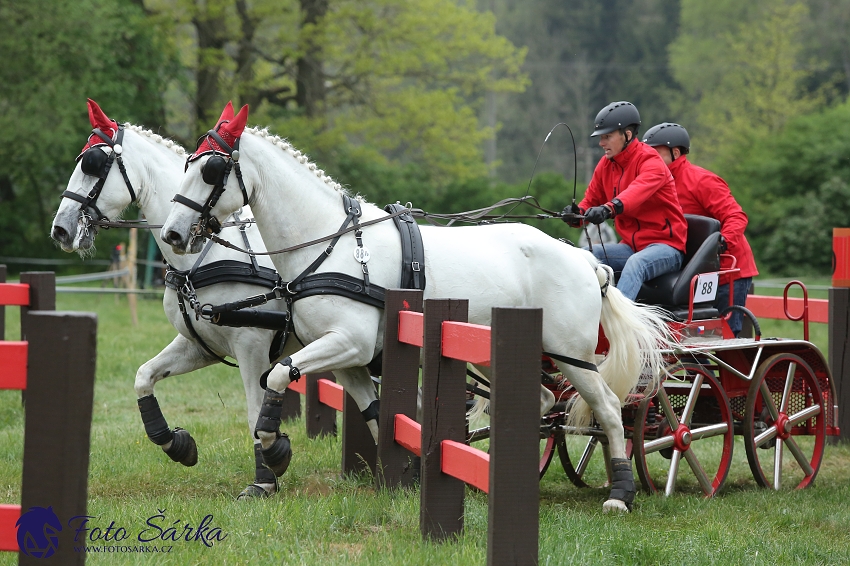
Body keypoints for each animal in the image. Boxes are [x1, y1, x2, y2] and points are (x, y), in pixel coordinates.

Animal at [50, 100, 294, 500]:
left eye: (93, 165)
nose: (60, 230)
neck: (202, 259)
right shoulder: (201, 345)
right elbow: (144, 377)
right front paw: (178, 444)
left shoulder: (252, 347)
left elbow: (255, 413)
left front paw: (265, 478)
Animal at [161, 103, 668, 516]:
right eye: (186, 164)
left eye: (211, 170)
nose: (172, 233)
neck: (332, 243)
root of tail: (585, 259)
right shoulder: (349, 359)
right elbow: (376, 413)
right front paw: (411, 475)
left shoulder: (347, 342)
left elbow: (279, 377)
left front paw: (274, 449)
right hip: (498, 354)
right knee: (544, 400)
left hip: (572, 356)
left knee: (608, 408)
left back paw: (621, 493)